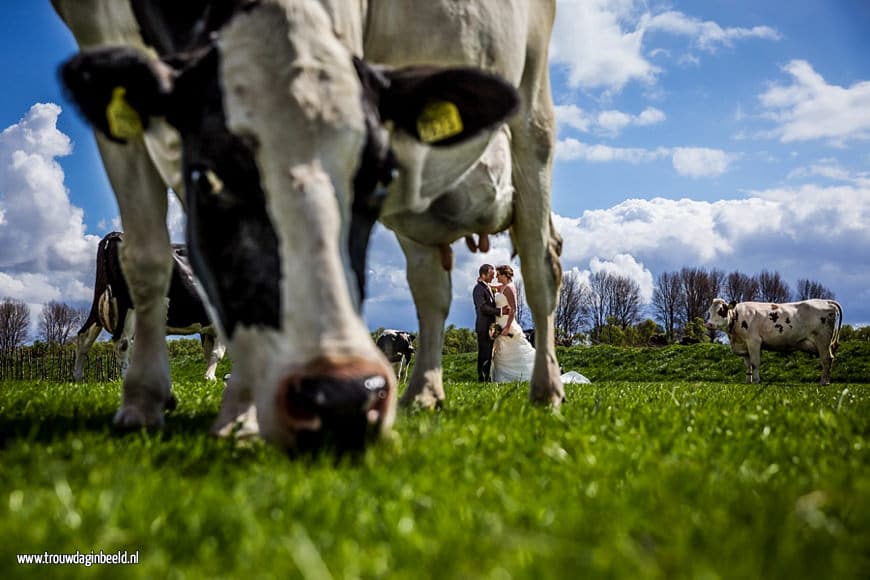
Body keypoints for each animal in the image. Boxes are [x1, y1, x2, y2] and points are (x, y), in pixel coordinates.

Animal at [73, 231, 227, 386]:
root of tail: (115, 235)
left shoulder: (207, 327)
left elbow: (208, 351)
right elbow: (217, 352)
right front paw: (210, 378)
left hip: (97, 304)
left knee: (84, 337)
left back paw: (78, 379)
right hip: (129, 307)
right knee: (122, 342)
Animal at [708, 300, 844, 386]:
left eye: (721, 311)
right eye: (709, 312)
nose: (709, 324)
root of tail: (826, 301)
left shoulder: (754, 342)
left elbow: (755, 363)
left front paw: (756, 381)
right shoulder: (744, 346)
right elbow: (748, 365)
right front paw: (748, 380)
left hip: (823, 341)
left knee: (827, 359)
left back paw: (824, 382)